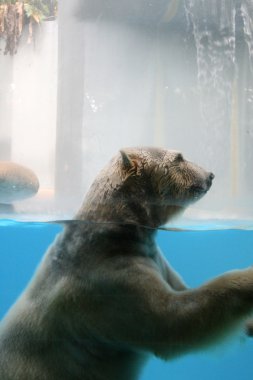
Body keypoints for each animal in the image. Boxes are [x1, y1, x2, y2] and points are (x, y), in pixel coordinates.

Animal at [0, 148, 253, 380]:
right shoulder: (108, 280)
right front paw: (247, 278)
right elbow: (170, 319)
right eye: (179, 157)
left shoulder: (151, 257)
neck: (113, 233)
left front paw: (249, 324)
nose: (210, 175)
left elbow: (180, 289)